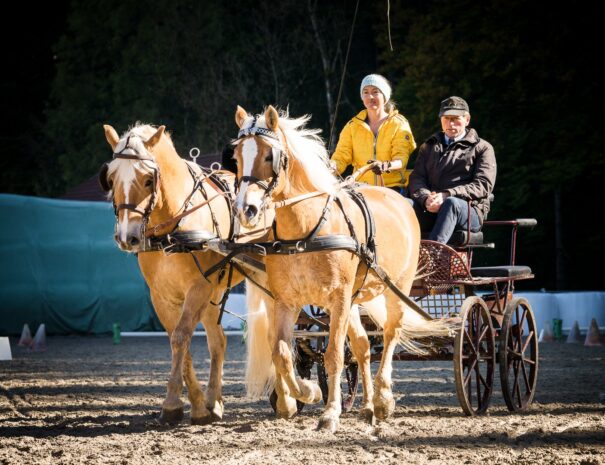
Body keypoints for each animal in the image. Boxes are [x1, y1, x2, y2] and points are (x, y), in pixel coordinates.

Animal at [99, 123, 274, 424]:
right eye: (111, 178)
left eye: (148, 179)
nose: (127, 237)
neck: (173, 229)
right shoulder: (162, 296)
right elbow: (179, 341)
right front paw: (198, 405)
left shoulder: (197, 287)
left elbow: (181, 336)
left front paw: (171, 403)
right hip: (216, 291)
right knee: (219, 341)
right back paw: (214, 400)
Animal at [232, 106, 452, 432]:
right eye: (236, 157)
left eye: (270, 156)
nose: (245, 210)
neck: (306, 231)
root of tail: (397, 199)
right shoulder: (287, 301)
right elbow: (282, 353)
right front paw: (302, 394)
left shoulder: (338, 298)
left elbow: (334, 355)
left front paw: (330, 412)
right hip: (354, 298)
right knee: (362, 346)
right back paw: (367, 406)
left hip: (395, 289)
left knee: (390, 334)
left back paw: (383, 400)